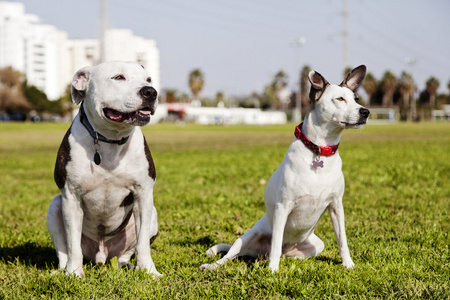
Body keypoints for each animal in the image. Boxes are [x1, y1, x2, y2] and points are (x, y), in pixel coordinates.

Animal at [45, 61, 161, 278]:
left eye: (148, 79)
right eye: (118, 77)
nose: (150, 91)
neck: (110, 140)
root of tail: (101, 256)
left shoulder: (144, 195)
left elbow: (142, 244)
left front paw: (149, 271)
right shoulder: (71, 198)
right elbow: (72, 244)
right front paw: (75, 274)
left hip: (151, 216)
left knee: (127, 253)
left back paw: (128, 265)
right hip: (55, 206)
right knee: (64, 251)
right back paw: (63, 270)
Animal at [200, 65, 370, 272]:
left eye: (356, 99)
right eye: (340, 99)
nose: (366, 112)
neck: (319, 150)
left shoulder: (336, 206)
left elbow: (343, 240)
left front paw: (348, 264)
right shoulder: (283, 206)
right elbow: (275, 242)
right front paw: (273, 270)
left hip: (315, 245)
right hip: (246, 237)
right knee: (233, 255)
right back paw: (213, 265)